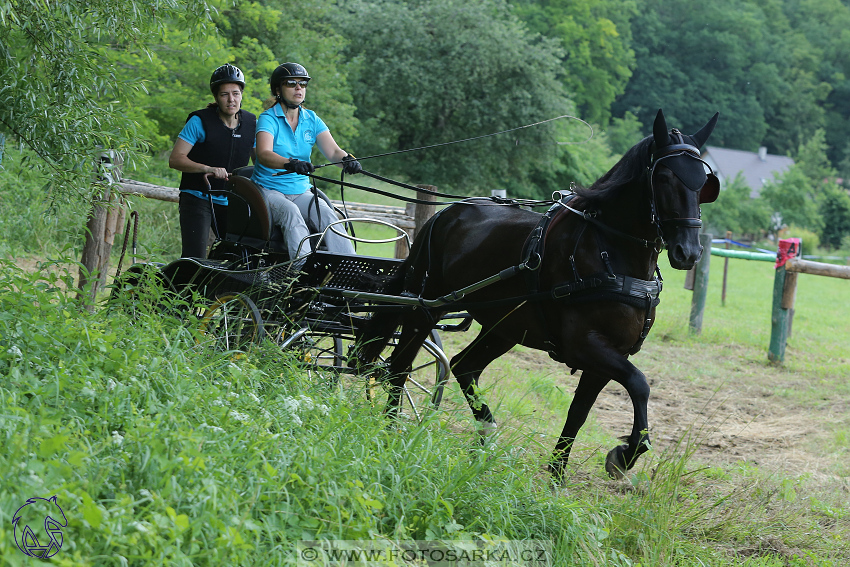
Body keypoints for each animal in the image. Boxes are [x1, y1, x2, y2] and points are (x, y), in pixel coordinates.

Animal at [354, 110, 720, 480]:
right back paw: (390, 432)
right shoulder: (585, 345)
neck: (610, 254)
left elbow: (580, 412)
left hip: (504, 328)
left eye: (705, 183)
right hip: (424, 307)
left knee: (463, 366)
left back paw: (485, 437)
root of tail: (444, 214)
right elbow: (640, 384)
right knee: (400, 367)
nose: (688, 252)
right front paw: (624, 455)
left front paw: (557, 476)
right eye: (665, 177)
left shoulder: (610, 355)